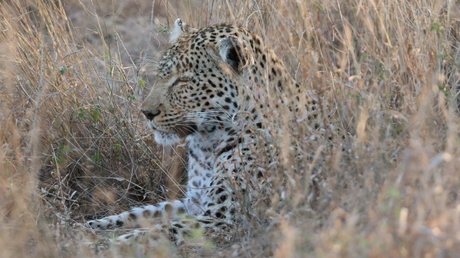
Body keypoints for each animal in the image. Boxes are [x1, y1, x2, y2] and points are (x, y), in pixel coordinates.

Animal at [87, 17, 324, 246]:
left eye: (184, 80)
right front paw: (93, 225)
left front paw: (105, 245)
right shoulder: (193, 202)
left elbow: (154, 232)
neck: (206, 144)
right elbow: (144, 212)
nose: (146, 112)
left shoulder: (221, 218)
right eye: (160, 75)